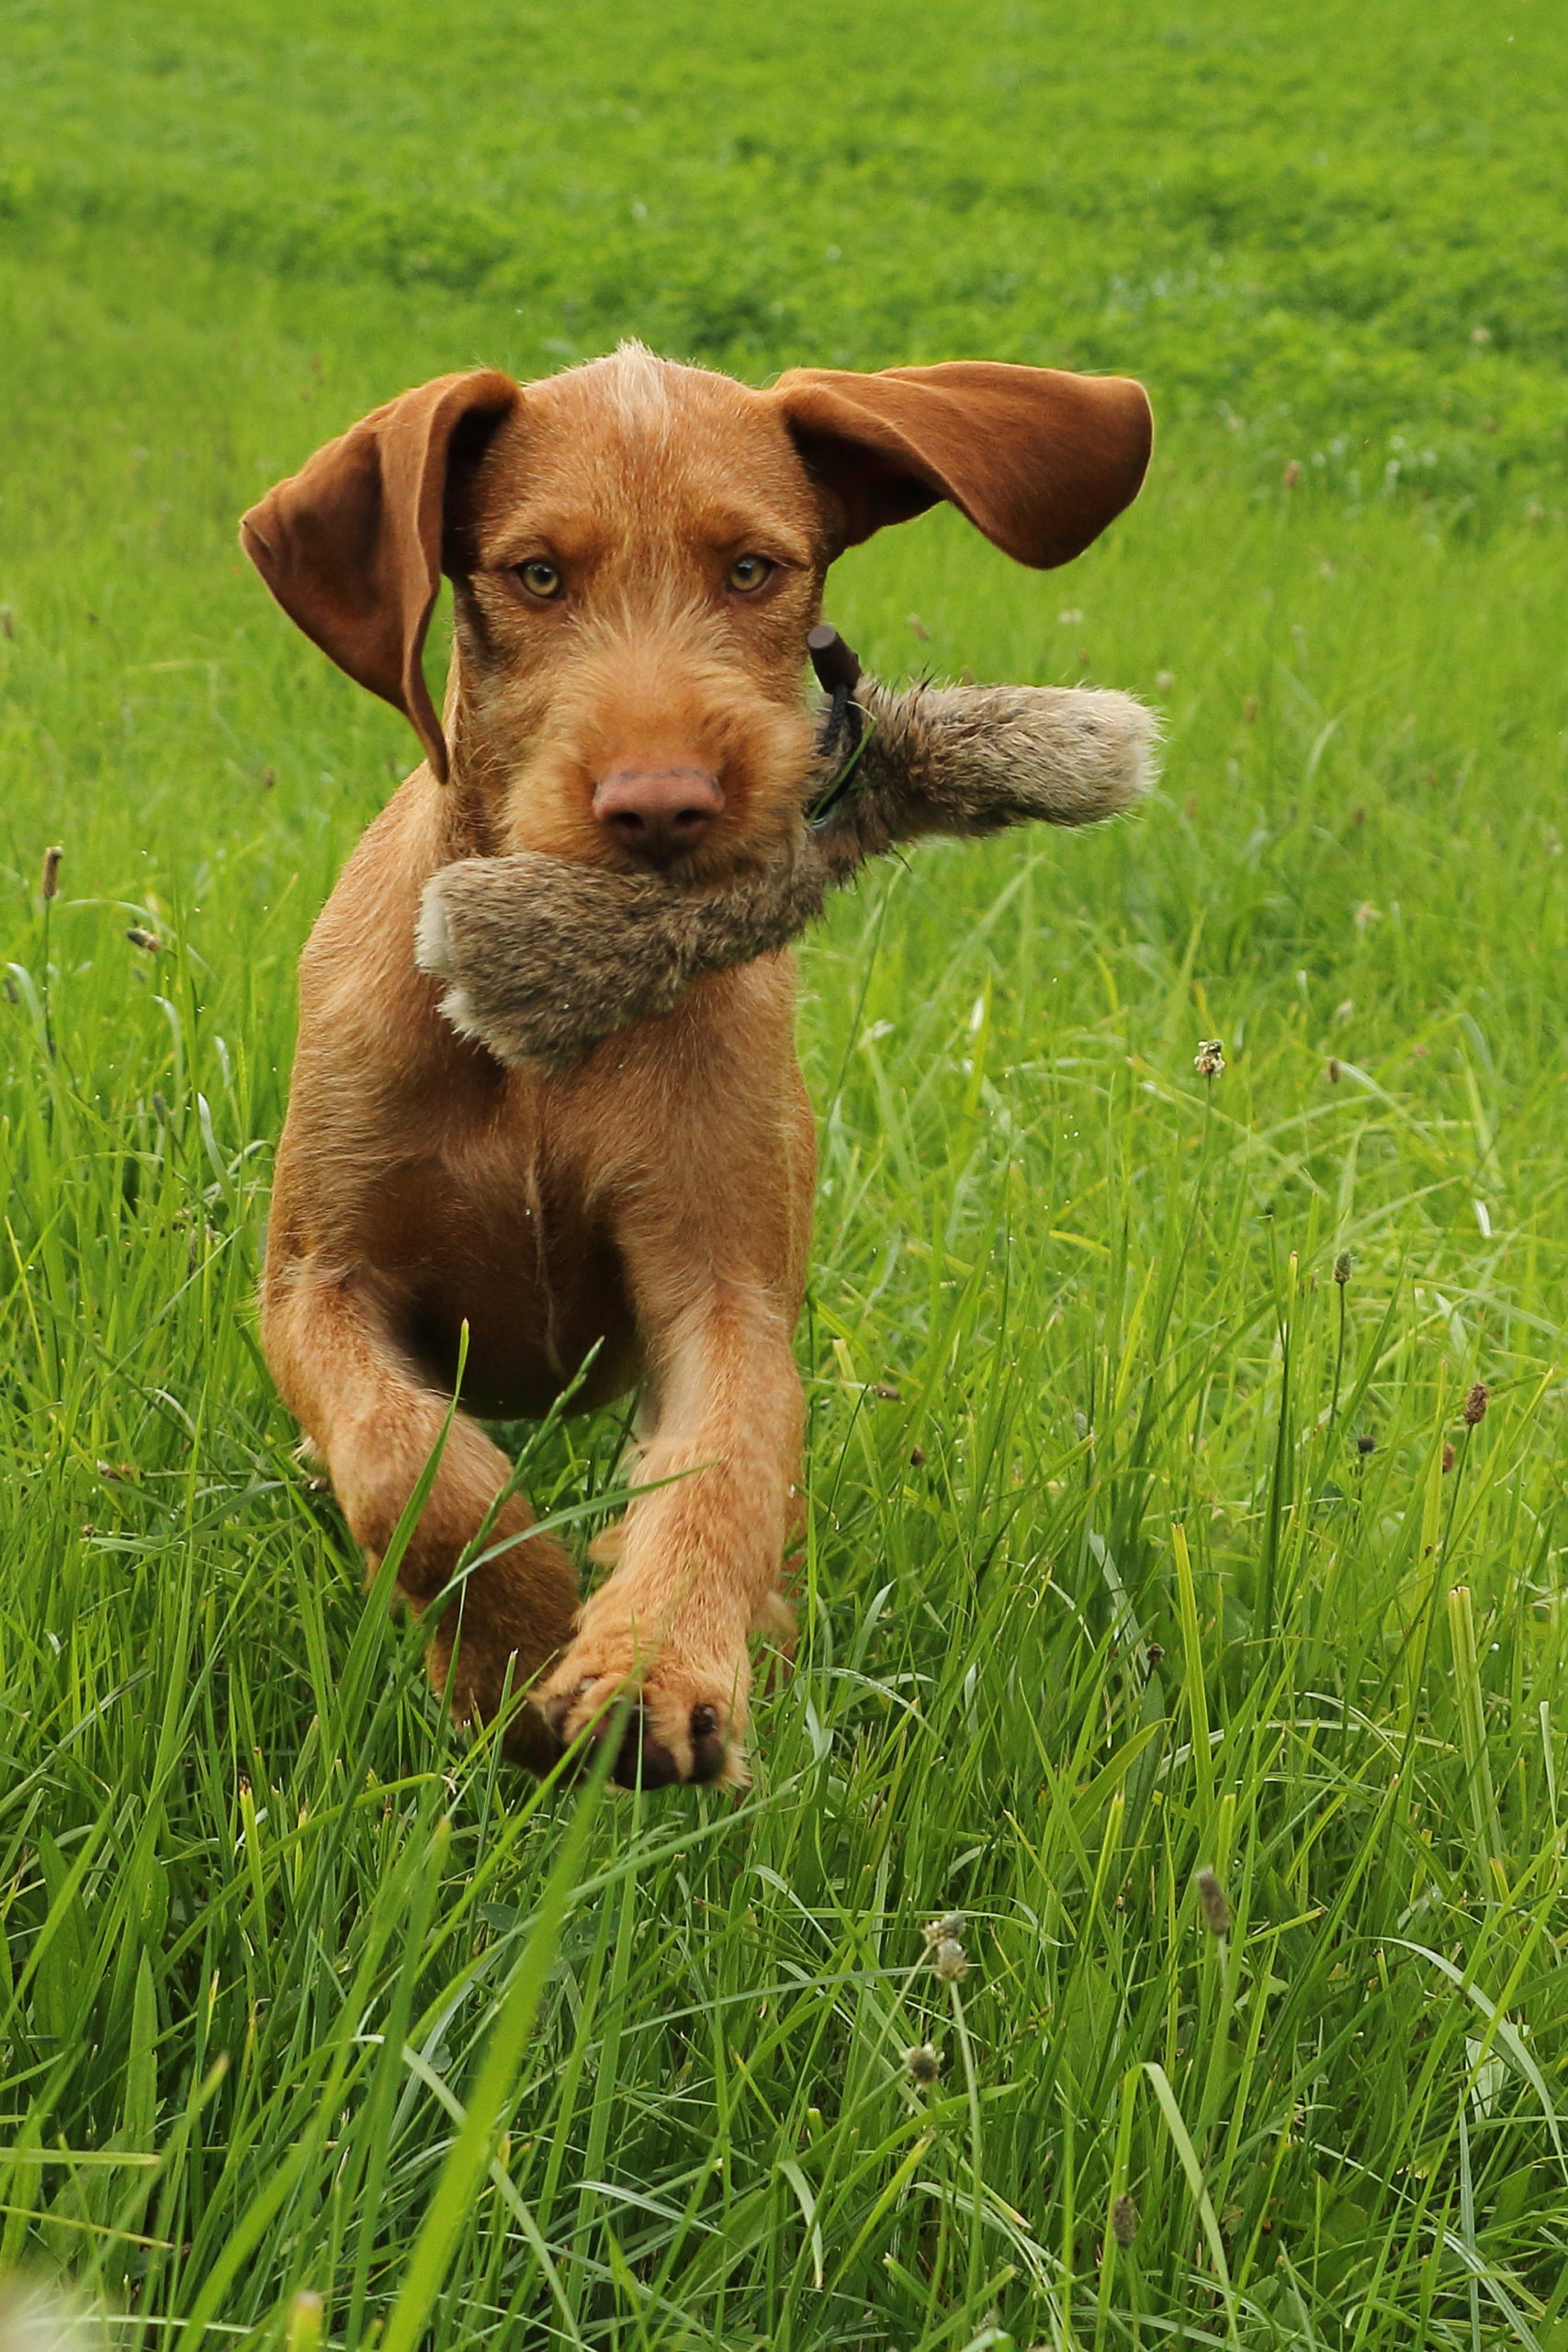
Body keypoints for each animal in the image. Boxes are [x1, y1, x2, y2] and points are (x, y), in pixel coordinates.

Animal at [242, 343, 1152, 1778]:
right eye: (536, 575)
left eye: (752, 570)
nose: (662, 805)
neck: (539, 1060)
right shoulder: (314, 1282)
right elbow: (407, 1467)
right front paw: (512, 1644)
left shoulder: (720, 1287)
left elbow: (725, 1458)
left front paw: (652, 1666)